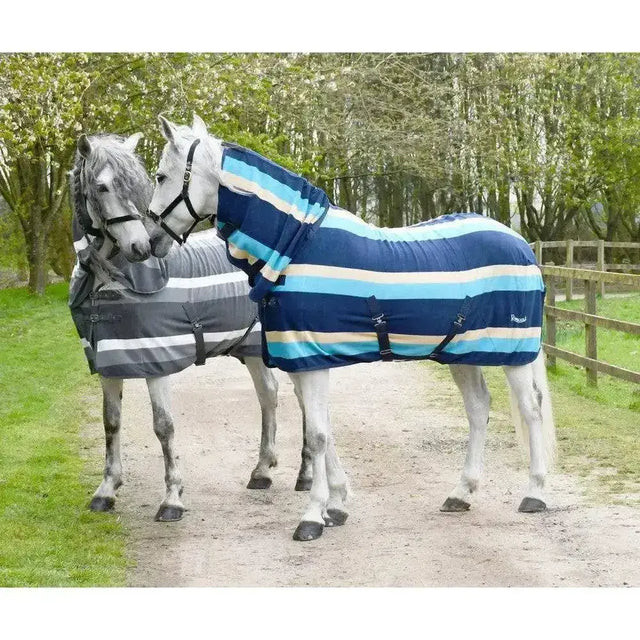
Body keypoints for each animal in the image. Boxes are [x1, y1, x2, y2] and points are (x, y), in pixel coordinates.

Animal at [68, 132, 314, 522]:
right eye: (102, 186)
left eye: (138, 183)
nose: (140, 246)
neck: (111, 281)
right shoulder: (109, 362)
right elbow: (111, 423)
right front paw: (106, 491)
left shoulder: (154, 364)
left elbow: (163, 426)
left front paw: (172, 498)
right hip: (253, 350)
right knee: (268, 395)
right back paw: (261, 471)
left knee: (305, 403)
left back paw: (305, 475)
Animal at [146, 114, 556, 542]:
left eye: (161, 176)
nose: (150, 241)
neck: (295, 246)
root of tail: (520, 244)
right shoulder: (304, 359)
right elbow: (322, 429)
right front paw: (337, 505)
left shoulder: (310, 357)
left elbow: (317, 435)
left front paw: (312, 517)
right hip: (460, 352)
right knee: (478, 408)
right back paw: (461, 494)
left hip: (514, 352)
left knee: (531, 410)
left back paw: (535, 494)